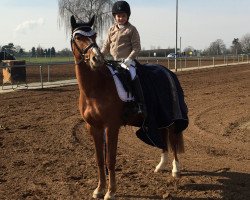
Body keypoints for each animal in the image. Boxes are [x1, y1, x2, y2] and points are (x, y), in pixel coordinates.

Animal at [70, 14, 188, 199]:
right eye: (78, 37)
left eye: (94, 36)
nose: (97, 59)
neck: (96, 88)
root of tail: (167, 71)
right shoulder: (94, 127)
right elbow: (99, 159)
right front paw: (99, 189)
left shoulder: (111, 127)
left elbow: (110, 160)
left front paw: (111, 192)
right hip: (158, 118)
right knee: (162, 137)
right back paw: (161, 166)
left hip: (171, 118)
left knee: (173, 139)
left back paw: (175, 169)